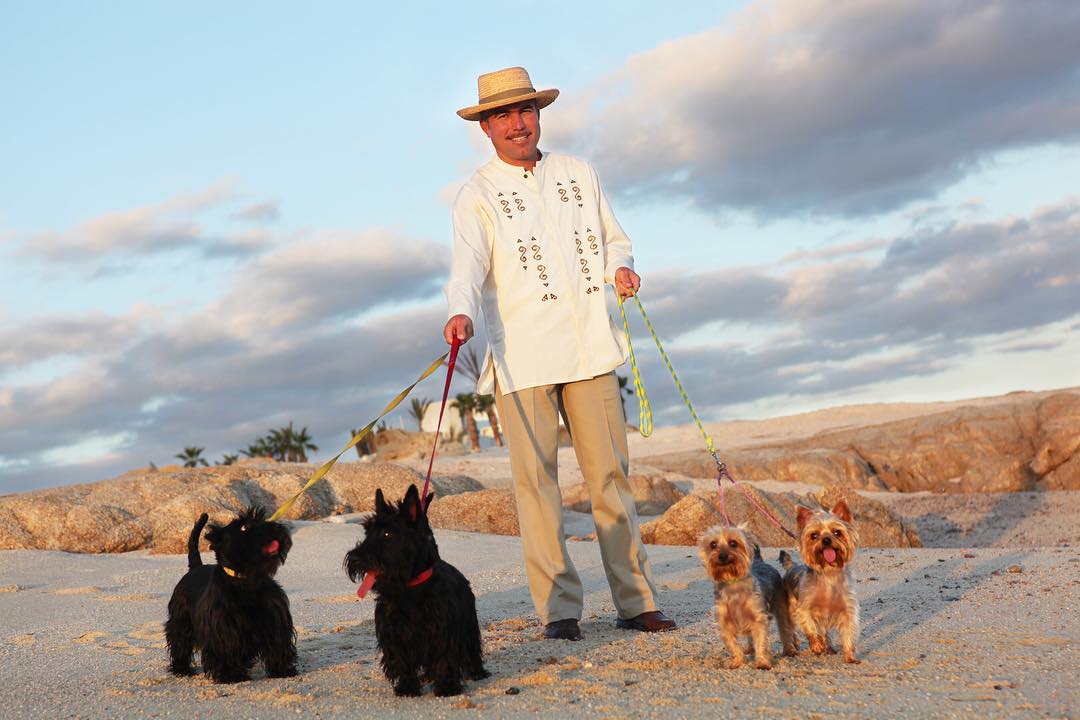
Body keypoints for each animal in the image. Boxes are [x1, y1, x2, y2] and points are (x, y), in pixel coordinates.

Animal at [162, 509, 295, 686]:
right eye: (244, 527)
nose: (277, 528)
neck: (246, 581)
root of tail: (195, 567)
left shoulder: (276, 621)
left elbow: (278, 646)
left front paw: (283, 670)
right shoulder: (223, 629)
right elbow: (226, 649)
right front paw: (231, 676)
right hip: (180, 622)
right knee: (180, 644)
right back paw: (181, 669)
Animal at [345, 487, 490, 695]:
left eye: (387, 534)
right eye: (367, 531)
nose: (354, 559)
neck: (410, 588)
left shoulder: (444, 632)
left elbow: (446, 658)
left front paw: (447, 687)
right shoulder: (394, 634)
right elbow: (401, 661)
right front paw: (407, 688)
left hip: (469, 623)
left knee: (472, 649)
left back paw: (477, 672)